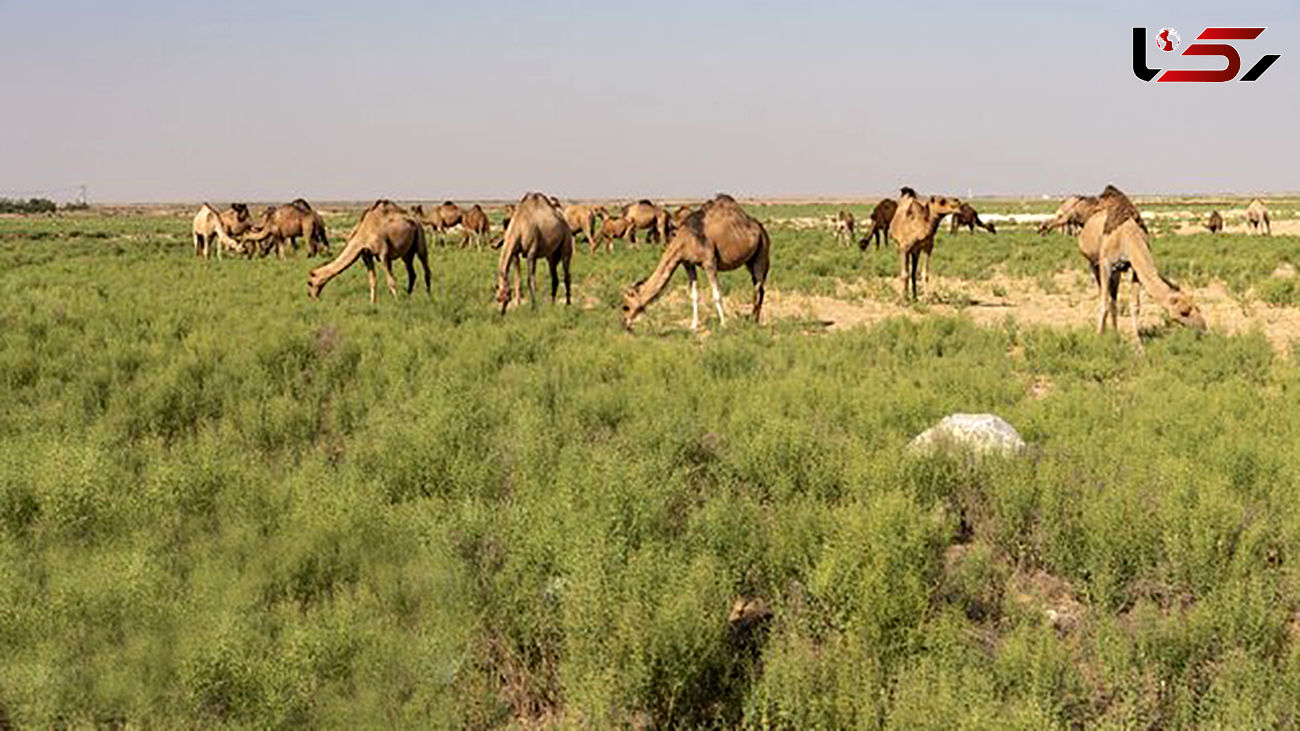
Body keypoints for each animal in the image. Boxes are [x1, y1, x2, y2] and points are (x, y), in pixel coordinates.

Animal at [621, 192, 769, 331]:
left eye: (626, 307)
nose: (624, 323)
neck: (686, 239)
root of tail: (760, 228)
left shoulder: (709, 262)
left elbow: (716, 294)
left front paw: (723, 324)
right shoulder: (688, 263)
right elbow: (694, 295)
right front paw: (693, 326)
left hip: (762, 251)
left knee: (758, 288)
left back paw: (753, 321)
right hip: (749, 261)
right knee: (758, 288)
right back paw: (754, 319)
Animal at [1076, 184, 1206, 338]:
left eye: (1196, 307)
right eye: (1184, 312)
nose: (1203, 326)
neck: (1128, 236)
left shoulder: (1133, 268)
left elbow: (1135, 306)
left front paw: (1137, 342)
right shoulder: (1106, 263)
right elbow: (1104, 302)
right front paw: (1099, 337)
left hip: (1117, 271)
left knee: (1113, 297)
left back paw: (1115, 332)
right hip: (1093, 263)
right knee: (1102, 292)